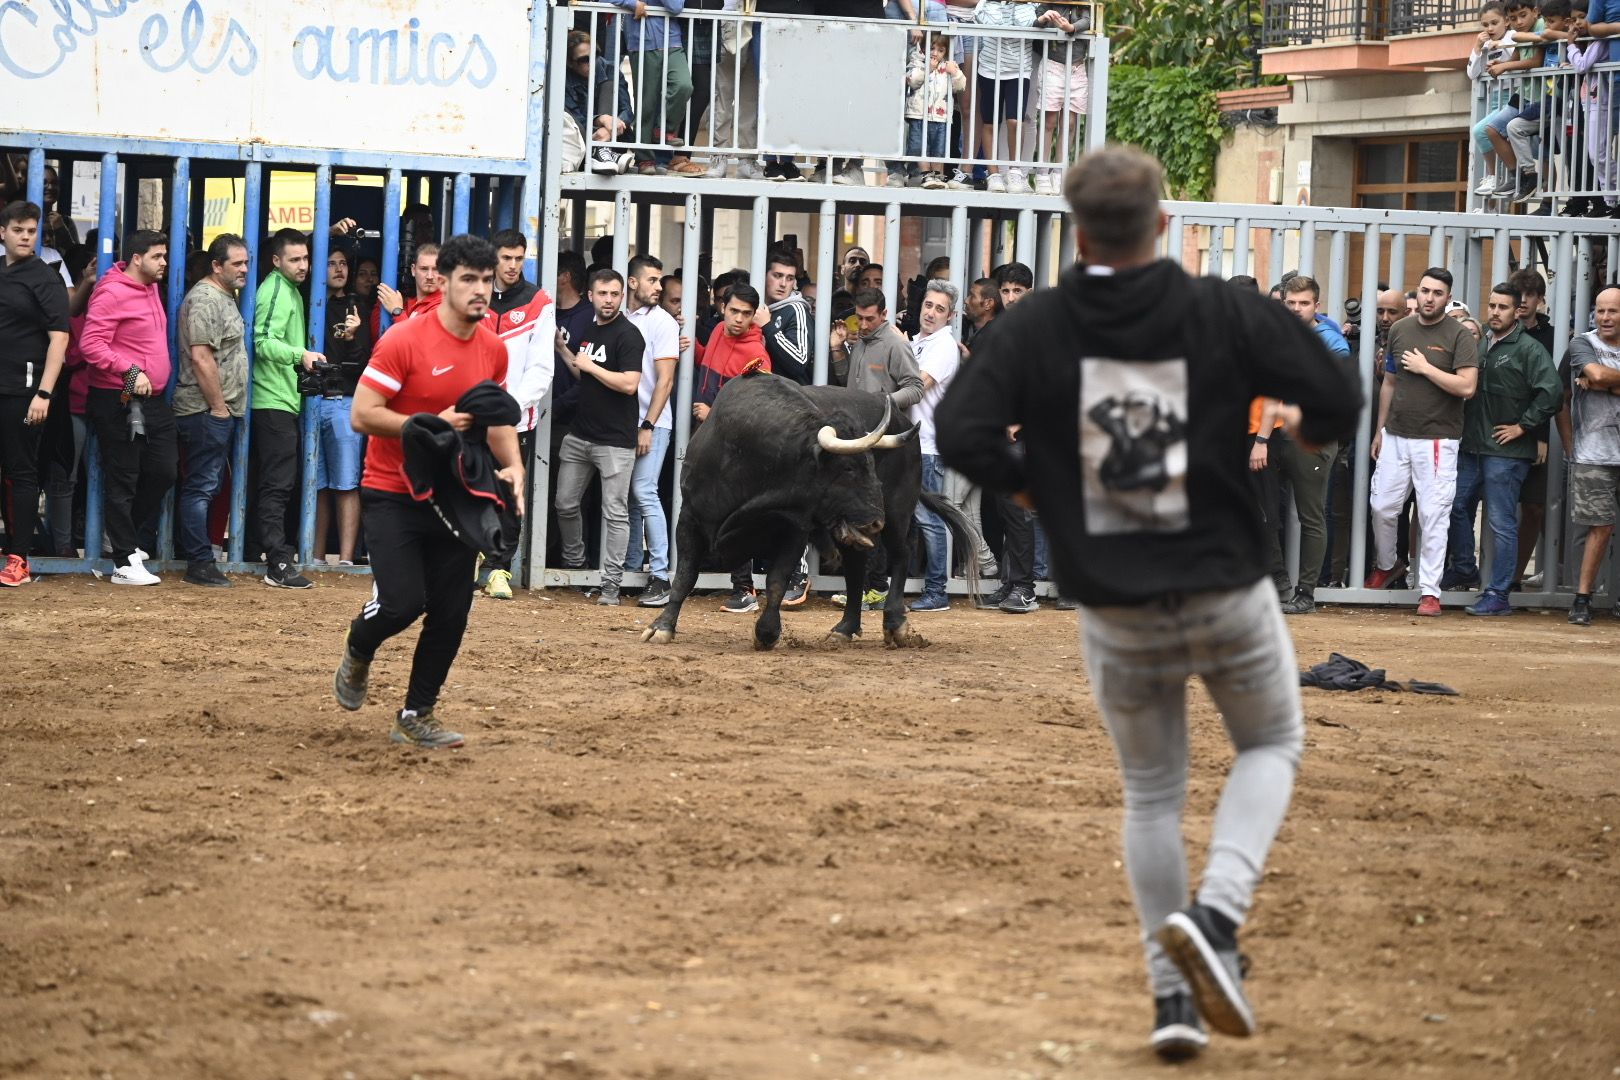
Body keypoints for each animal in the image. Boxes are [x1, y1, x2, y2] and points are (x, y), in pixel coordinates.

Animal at [638, 375, 978, 650]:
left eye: (872, 464)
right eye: (848, 468)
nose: (874, 522)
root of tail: (905, 424)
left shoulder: (793, 528)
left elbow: (777, 581)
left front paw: (767, 632)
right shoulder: (689, 519)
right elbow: (685, 577)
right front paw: (661, 627)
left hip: (898, 510)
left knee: (900, 554)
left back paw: (895, 624)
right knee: (856, 568)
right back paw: (845, 628)